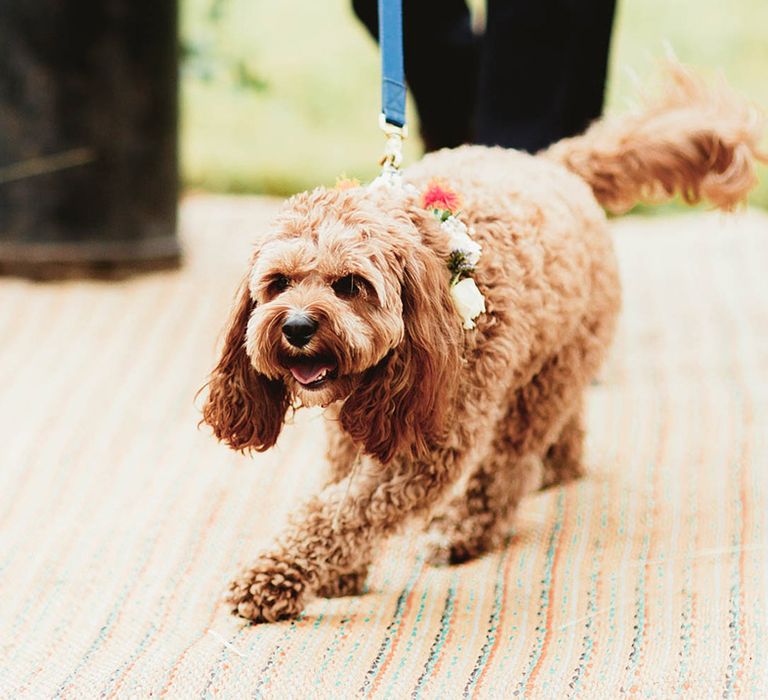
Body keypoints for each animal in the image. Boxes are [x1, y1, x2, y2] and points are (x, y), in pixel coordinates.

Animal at [201, 64, 764, 624]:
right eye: (278, 283)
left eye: (351, 285)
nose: (296, 327)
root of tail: (555, 166)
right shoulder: (353, 429)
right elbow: (338, 491)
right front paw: (342, 571)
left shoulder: (429, 447)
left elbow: (341, 510)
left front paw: (272, 578)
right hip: (553, 356)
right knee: (563, 422)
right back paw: (560, 466)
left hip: (539, 386)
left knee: (506, 465)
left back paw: (463, 530)